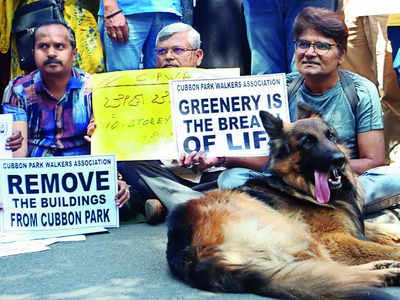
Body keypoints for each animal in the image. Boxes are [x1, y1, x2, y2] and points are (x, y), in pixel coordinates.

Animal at [166, 102, 400, 298]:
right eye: (307, 142)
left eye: (331, 136)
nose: (339, 160)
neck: (298, 187)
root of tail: (188, 252)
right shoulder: (333, 238)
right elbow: (384, 247)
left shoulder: (353, 224)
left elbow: (385, 228)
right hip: (296, 231)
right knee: (330, 271)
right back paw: (383, 273)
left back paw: (383, 270)